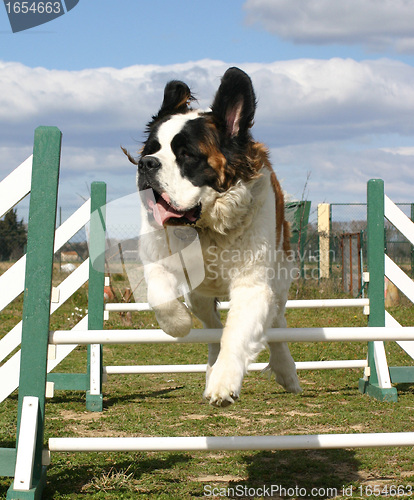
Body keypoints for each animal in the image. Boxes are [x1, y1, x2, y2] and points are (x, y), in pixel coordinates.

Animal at [123, 66, 300, 406]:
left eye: (186, 155)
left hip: (280, 280)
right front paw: (178, 325)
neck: (206, 229)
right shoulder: (157, 260)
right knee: (212, 326)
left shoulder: (253, 286)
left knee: (276, 324)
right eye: (151, 150)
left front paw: (223, 382)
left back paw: (286, 371)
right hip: (199, 295)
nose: (146, 164)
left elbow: (238, 333)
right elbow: (160, 297)